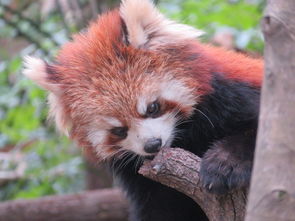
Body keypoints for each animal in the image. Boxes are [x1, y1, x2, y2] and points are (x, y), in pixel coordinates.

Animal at [23, 0, 264, 221]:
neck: (185, 136)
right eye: (118, 130)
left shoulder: (235, 96)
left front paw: (224, 164)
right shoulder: (141, 179)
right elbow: (161, 208)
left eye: (152, 108)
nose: (153, 145)